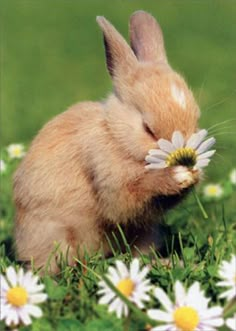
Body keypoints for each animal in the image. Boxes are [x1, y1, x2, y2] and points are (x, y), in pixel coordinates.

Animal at [12, 11, 201, 274]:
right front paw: (176, 176)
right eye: (148, 129)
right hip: (52, 235)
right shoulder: (105, 173)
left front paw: (193, 175)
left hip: (146, 234)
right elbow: (126, 199)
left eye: (196, 119)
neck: (115, 134)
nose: (186, 156)